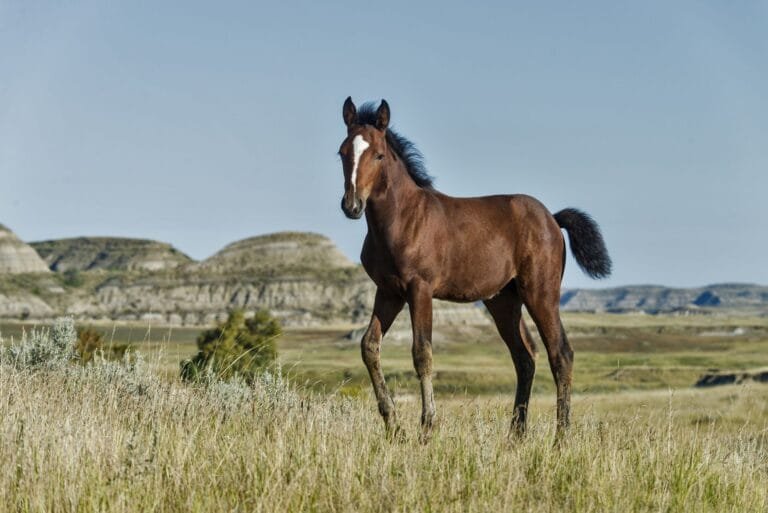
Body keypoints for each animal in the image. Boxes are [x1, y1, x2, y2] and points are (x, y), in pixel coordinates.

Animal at [338, 97, 611, 439]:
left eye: (378, 154)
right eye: (342, 152)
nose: (352, 206)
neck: (401, 220)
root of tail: (552, 218)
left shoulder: (419, 289)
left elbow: (422, 352)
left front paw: (427, 427)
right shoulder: (388, 292)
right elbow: (369, 346)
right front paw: (393, 425)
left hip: (540, 293)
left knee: (560, 354)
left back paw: (560, 438)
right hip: (503, 301)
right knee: (525, 357)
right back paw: (515, 436)